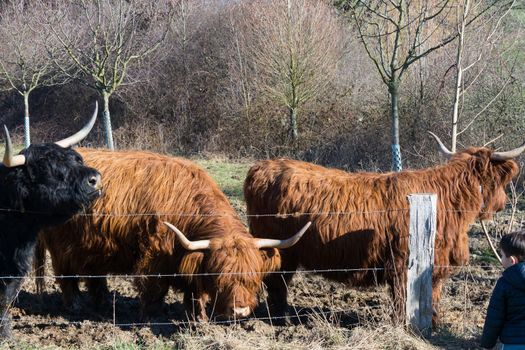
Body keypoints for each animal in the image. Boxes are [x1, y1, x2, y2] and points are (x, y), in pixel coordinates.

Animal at [0, 103, 101, 336]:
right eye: (48, 169)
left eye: (76, 158)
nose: (94, 179)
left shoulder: (15, 267)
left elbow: (5, 298)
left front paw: (5, 332)